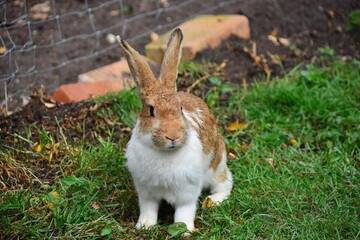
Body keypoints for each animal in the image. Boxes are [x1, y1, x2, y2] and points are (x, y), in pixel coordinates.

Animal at [116, 28, 232, 232]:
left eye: (180, 108)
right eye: (151, 110)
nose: (173, 136)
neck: (164, 153)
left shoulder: (187, 192)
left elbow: (184, 210)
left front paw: (184, 229)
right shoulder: (146, 192)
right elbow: (148, 209)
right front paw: (144, 226)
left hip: (217, 165)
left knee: (226, 183)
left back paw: (213, 201)